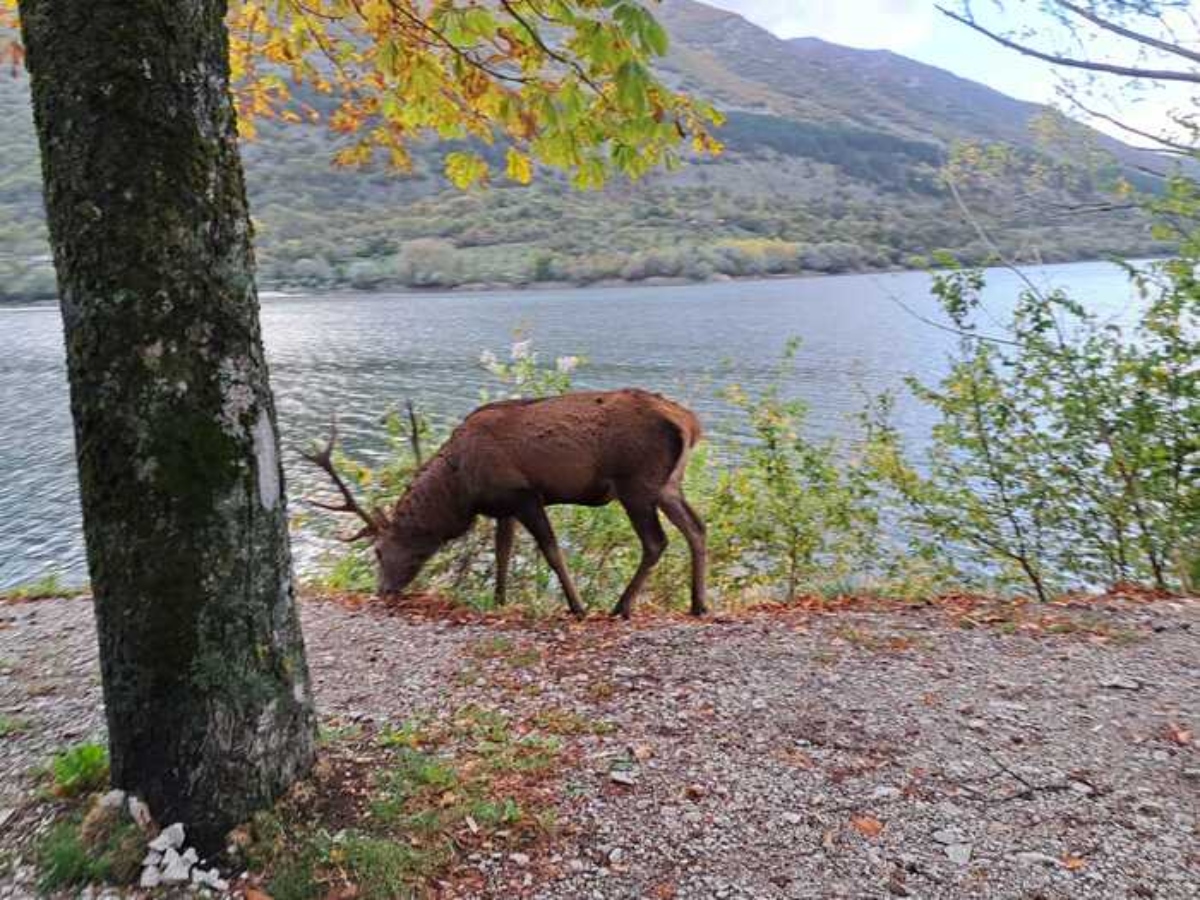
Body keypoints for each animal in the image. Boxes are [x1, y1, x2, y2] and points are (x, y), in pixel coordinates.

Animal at [304, 391, 705, 624]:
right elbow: (503, 552)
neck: (461, 488)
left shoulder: (525, 494)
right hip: (668, 485)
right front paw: (498, 600)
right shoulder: (503, 505)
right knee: (697, 527)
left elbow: (551, 551)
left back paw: (621, 607)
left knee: (656, 541)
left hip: (637, 483)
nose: (382, 591)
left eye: (377, 550)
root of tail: (690, 423)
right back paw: (698, 604)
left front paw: (577, 607)